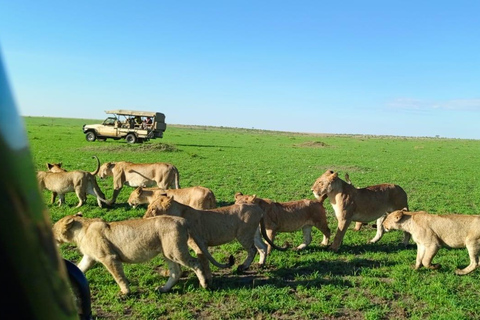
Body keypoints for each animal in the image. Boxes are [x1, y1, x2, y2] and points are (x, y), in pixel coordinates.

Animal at [52, 214, 232, 294]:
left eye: (53, 227)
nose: (50, 233)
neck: (82, 230)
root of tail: (182, 219)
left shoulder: (109, 257)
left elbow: (118, 276)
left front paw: (125, 292)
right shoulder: (90, 257)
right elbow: (80, 268)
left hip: (176, 251)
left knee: (196, 263)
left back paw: (204, 284)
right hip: (167, 253)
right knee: (176, 272)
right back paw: (163, 289)